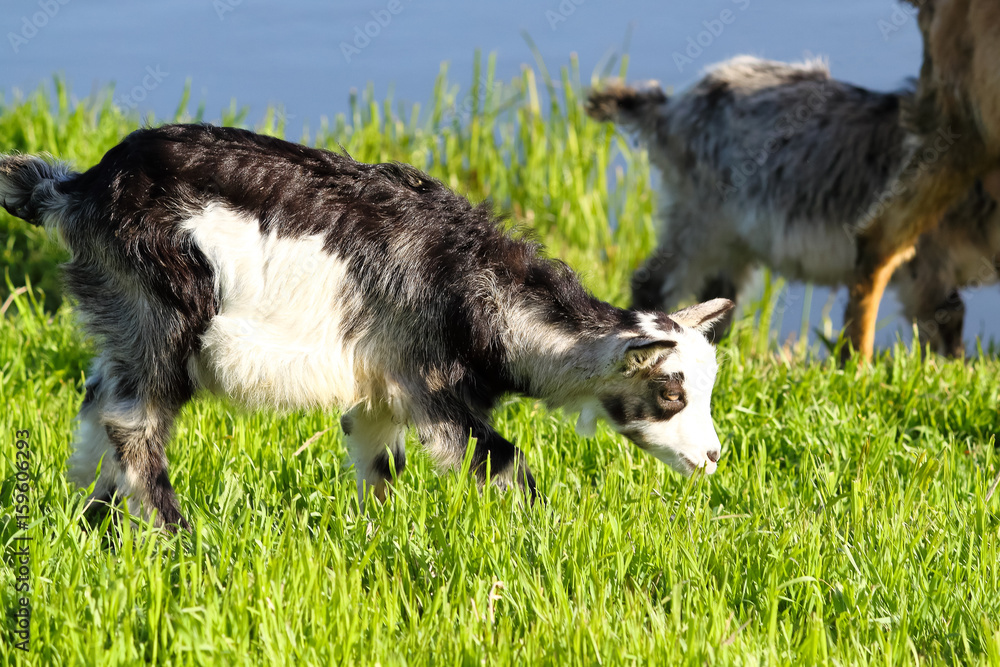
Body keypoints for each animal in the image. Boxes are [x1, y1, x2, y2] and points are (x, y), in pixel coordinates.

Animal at [0, 124, 733, 531]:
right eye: (671, 391)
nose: (713, 457)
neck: (474, 284)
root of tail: (79, 188)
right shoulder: (429, 383)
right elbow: (503, 460)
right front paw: (541, 541)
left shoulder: (380, 389)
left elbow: (377, 463)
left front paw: (372, 537)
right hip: (162, 312)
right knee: (135, 424)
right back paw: (178, 534)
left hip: (120, 315)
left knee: (98, 407)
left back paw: (90, 525)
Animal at [587, 56, 1000, 357]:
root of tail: (670, 108)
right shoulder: (923, 265)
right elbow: (947, 325)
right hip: (700, 221)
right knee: (654, 280)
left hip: (732, 240)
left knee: (720, 293)